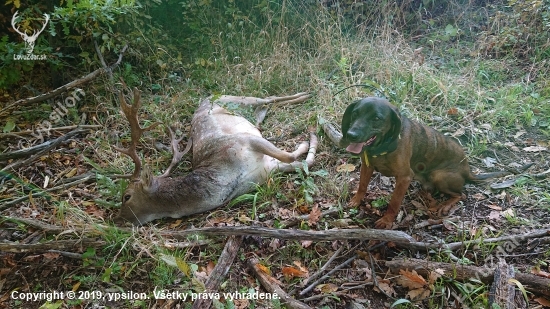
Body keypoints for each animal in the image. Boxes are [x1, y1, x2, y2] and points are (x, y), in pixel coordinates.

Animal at [113, 87, 316, 224]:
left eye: (126, 196)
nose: (118, 219)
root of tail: (209, 95)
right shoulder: (268, 169)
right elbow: (299, 163)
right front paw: (309, 146)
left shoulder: (244, 139)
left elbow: (290, 157)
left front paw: (309, 141)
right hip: (255, 113)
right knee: (270, 102)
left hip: (240, 99)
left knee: (267, 97)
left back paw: (306, 94)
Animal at [326, 96, 512, 229]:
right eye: (355, 113)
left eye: (377, 118)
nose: (351, 135)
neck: (383, 146)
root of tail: (468, 169)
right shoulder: (367, 166)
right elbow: (362, 186)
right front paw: (356, 201)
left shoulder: (405, 177)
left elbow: (394, 203)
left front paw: (387, 221)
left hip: (440, 176)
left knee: (462, 194)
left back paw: (444, 205)